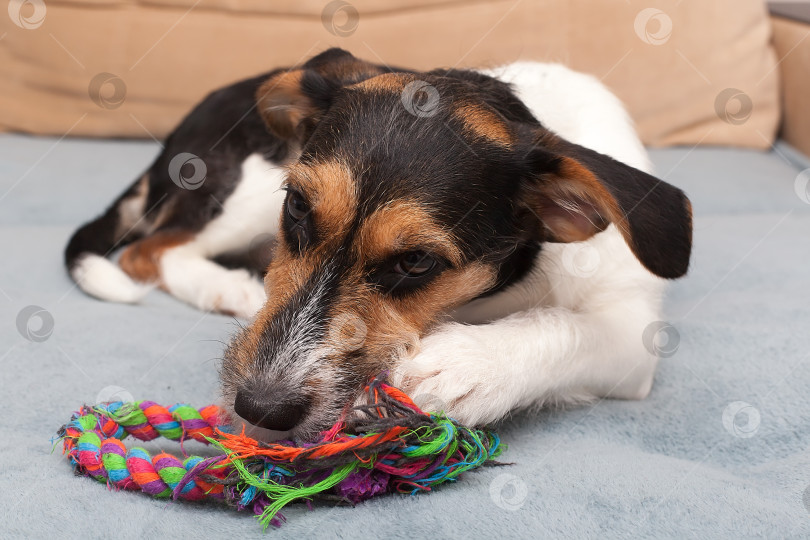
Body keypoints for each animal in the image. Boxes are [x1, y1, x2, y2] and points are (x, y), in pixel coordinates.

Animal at [66, 48, 692, 440]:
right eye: (298, 207)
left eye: (416, 261)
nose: (259, 408)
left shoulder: (632, 334)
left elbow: (566, 327)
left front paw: (467, 366)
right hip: (247, 184)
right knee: (151, 250)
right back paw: (230, 288)